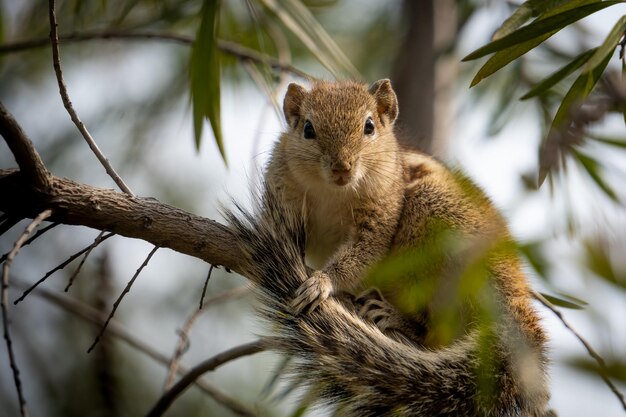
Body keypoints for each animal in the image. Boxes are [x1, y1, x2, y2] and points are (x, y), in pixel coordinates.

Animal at [223, 79, 552, 416]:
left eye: (369, 126)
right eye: (308, 129)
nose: (342, 167)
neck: (332, 193)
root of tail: (511, 298)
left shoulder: (382, 210)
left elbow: (365, 251)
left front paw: (321, 283)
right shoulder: (283, 192)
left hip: (435, 227)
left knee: (432, 323)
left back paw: (394, 316)